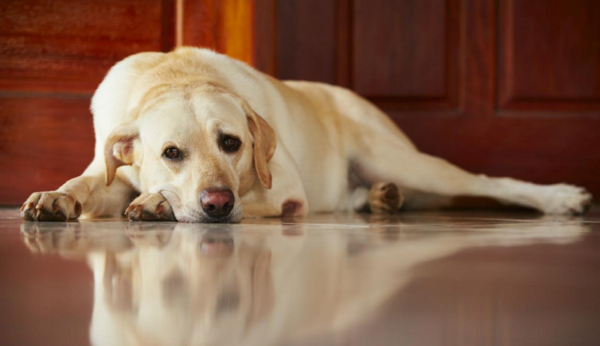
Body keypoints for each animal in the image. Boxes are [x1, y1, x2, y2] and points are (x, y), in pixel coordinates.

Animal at [21, 47, 592, 223]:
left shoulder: (285, 193)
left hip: (402, 159)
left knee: (489, 182)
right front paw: (55, 196)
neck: (175, 74)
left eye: (232, 143)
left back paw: (561, 198)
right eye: (171, 153)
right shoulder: (110, 171)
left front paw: (158, 204)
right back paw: (381, 199)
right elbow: (86, 183)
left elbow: (255, 198)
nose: (216, 203)